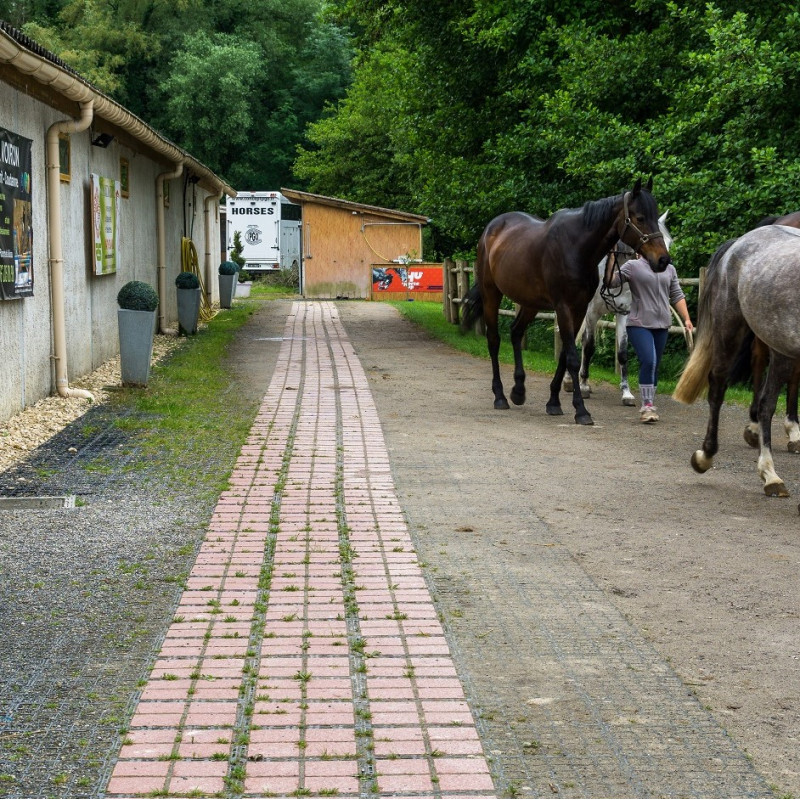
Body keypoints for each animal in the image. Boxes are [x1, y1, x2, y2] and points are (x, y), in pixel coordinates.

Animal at [460, 180, 672, 424]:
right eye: (639, 218)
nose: (663, 261)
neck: (577, 248)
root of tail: (491, 229)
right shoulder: (565, 308)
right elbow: (572, 356)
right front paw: (581, 410)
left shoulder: (580, 309)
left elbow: (565, 355)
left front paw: (554, 402)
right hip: (491, 294)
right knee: (494, 340)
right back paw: (500, 396)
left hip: (530, 303)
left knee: (516, 332)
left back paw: (518, 391)